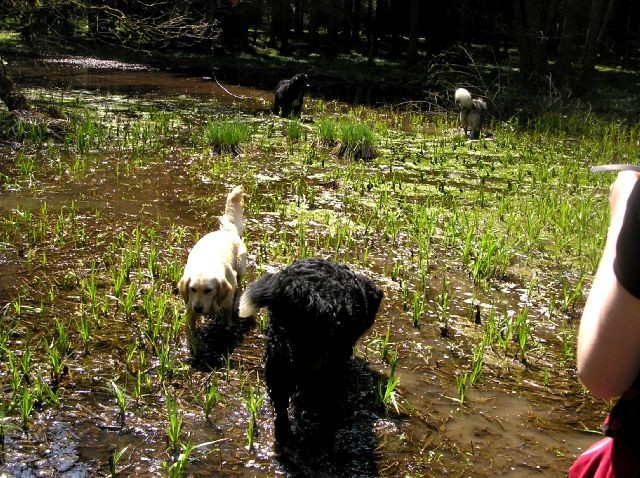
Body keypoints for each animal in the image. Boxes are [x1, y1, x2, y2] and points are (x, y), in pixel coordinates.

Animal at [178, 184, 248, 352]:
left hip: (241, 266)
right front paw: (191, 344)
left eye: (209, 290)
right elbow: (190, 328)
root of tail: (226, 232)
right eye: (192, 289)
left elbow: (227, 318)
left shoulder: (226, 300)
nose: (198, 308)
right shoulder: (189, 306)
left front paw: (227, 328)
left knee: (240, 282)